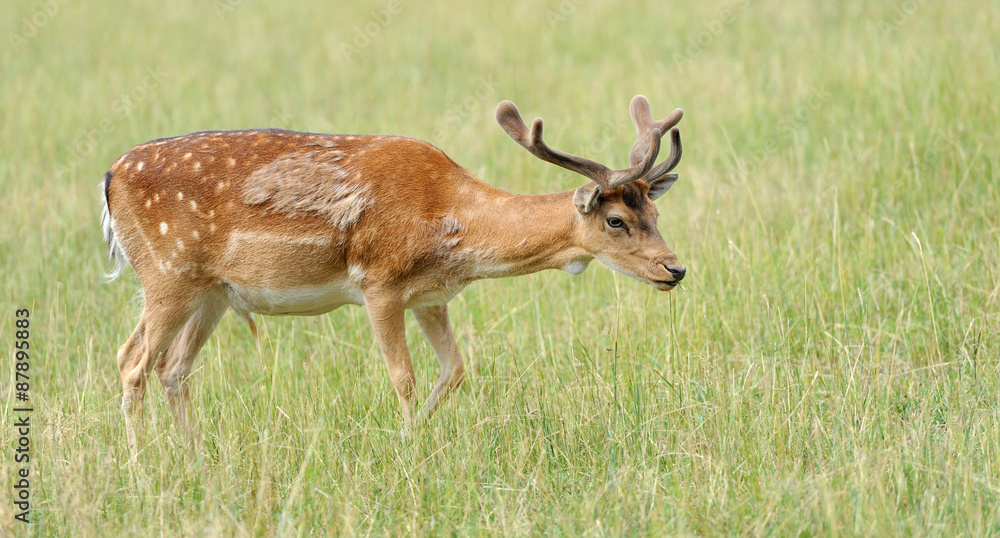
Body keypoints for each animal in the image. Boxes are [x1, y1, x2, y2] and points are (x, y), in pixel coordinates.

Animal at [101, 95, 688, 452]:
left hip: (214, 293)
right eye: (616, 220)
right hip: (167, 274)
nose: (676, 268)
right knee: (132, 360)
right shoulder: (379, 283)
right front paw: (409, 449)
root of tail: (108, 178)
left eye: (656, 214)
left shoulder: (431, 296)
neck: (453, 220)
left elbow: (455, 370)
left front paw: (420, 438)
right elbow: (403, 376)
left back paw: (193, 456)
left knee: (173, 368)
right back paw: (141, 465)